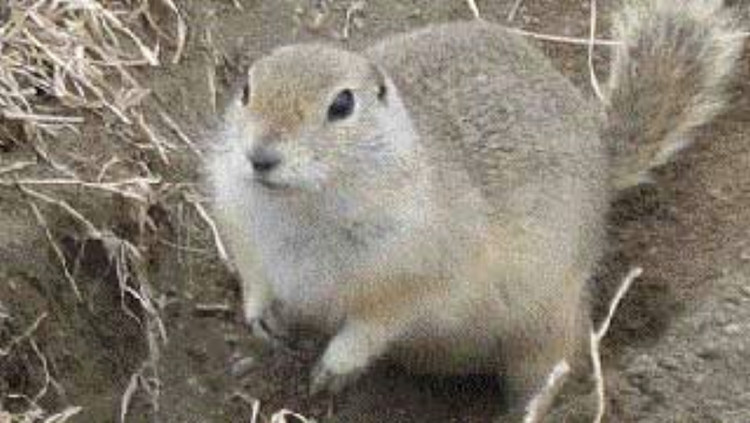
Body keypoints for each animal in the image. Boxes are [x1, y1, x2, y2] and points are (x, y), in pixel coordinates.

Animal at [209, 0, 745, 420]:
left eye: (342, 105)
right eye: (247, 88)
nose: (259, 156)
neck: (299, 207)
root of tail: (602, 155)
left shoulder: (417, 270)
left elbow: (378, 320)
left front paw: (333, 367)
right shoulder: (239, 224)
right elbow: (255, 276)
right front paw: (260, 318)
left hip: (546, 325)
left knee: (552, 370)